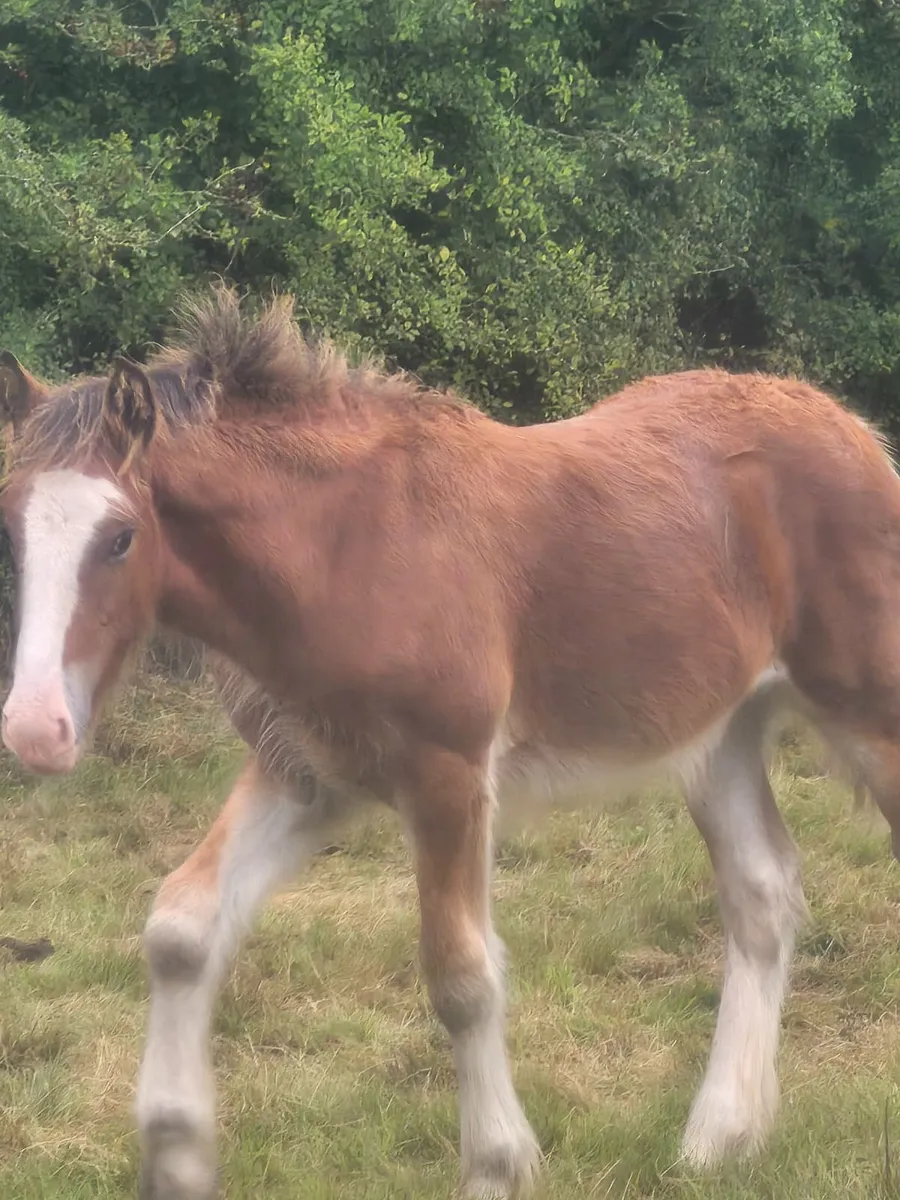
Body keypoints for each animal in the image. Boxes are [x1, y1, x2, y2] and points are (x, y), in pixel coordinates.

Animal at [2, 287, 900, 1199]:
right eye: (11, 533)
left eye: (120, 537)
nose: (35, 729)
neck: (341, 544)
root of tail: (853, 428)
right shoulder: (307, 774)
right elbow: (182, 927)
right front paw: (176, 1155)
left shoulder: (448, 773)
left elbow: (462, 977)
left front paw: (499, 1164)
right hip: (720, 734)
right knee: (762, 895)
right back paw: (718, 1137)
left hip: (871, 710)